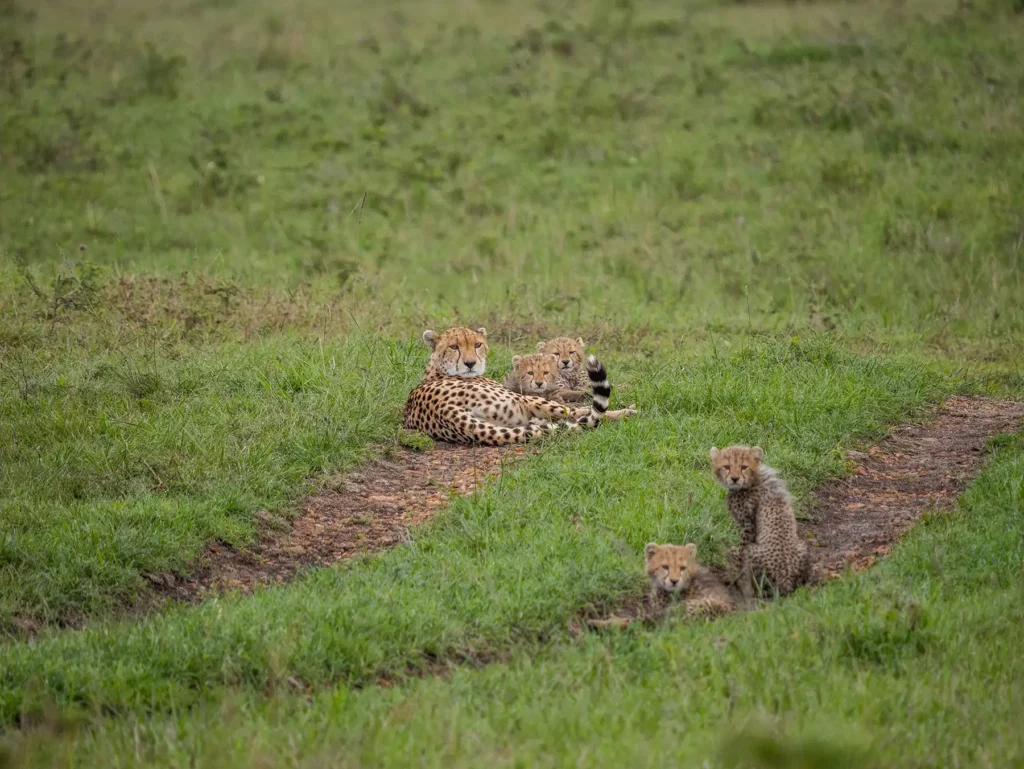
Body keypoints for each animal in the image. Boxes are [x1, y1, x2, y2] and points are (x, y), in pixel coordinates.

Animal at [402, 326, 636, 446]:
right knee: (586, 415)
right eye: (454, 347)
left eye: (477, 344)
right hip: (524, 401)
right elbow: (581, 409)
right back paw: (627, 413)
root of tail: (447, 411)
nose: (470, 363)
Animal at [710, 445, 814, 599]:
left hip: (753, 552)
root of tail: (786, 578)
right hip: (803, 546)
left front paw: (734, 572)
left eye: (744, 467)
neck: (753, 480)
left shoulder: (748, 527)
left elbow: (741, 550)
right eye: (726, 467)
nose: (735, 478)